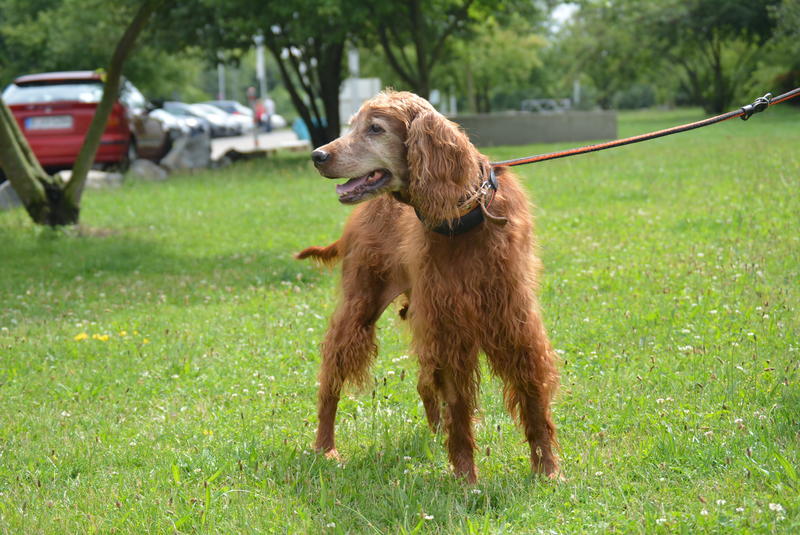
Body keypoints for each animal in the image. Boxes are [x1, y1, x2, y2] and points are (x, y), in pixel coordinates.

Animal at [296, 91, 560, 482]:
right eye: (352, 126)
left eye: (375, 128)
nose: (317, 156)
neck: (466, 216)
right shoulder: (449, 326)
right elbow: (460, 407)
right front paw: (466, 477)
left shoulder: (514, 322)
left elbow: (532, 399)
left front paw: (548, 470)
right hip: (360, 308)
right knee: (331, 377)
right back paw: (325, 447)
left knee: (424, 382)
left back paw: (436, 434)